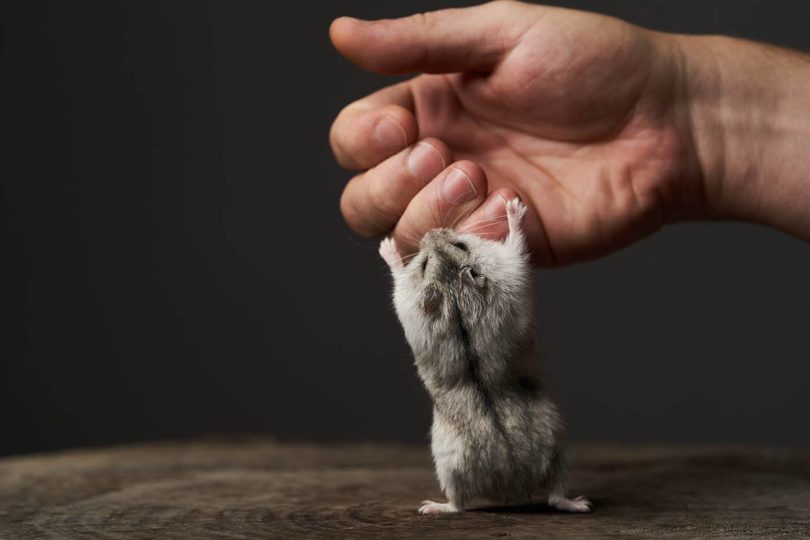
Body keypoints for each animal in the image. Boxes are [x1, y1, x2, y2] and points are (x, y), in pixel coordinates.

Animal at [379, 199, 591, 515]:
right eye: (425, 264)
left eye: (460, 244)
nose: (430, 231)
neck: (455, 290)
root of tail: (512, 486)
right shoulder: (508, 265)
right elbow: (516, 242)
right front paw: (514, 207)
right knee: (462, 504)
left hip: (552, 451)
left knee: (548, 497)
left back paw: (579, 504)